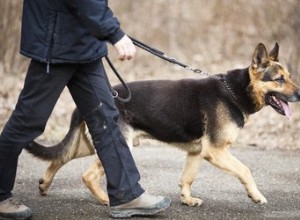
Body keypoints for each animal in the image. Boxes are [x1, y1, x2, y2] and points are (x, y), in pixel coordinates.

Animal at [25, 42, 300, 206]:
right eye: (279, 79)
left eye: (289, 77)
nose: (299, 93)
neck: (235, 91)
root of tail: (94, 103)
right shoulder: (216, 151)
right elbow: (245, 170)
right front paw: (256, 195)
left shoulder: (197, 152)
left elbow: (187, 179)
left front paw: (187, 200)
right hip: (119, 144)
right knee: (87, 175)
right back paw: (107, 200)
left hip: (91, 144)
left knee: (60, 157)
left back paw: (45, 184)